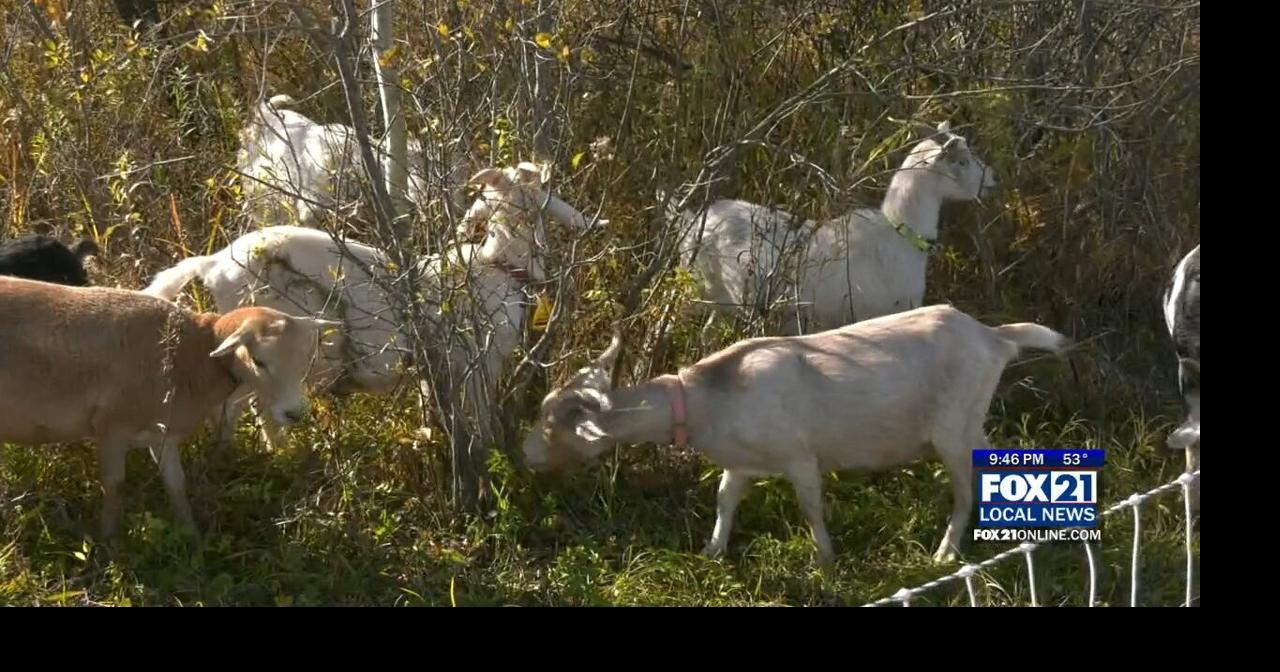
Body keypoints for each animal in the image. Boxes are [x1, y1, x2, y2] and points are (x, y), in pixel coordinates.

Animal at [0, 276, 338, 537]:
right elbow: (115, 485)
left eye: (304, 358)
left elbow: (176, 484)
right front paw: (111, 544)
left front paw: (192, 537)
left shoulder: (162, 433)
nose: (295, 412)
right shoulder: (112, 427)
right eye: (258, 361)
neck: (192, 353)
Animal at [143, 162, 604, 451]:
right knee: (237, 407)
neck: (498, 266)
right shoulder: (479, 363)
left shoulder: (439, 369)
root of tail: (213, 263)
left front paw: (430, 437)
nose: (594, 223)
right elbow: (482, 417)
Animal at [521, 304, 1067, 571]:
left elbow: (810, 508)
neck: (706, 400)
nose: (524, 453)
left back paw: (945, 553)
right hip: (971, 421)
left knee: (964, 490)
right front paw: (712, 552)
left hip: (951, 428)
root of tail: (994, 338)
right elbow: (725, 499)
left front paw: (826, 563)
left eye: (552, 423)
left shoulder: (800, 455)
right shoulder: (740, 462)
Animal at [670, 121, 996, 335]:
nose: (993, 179)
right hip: (695, 290)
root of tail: (692, 219)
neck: (899, 233)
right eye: (963, 162)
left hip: (718, 301)